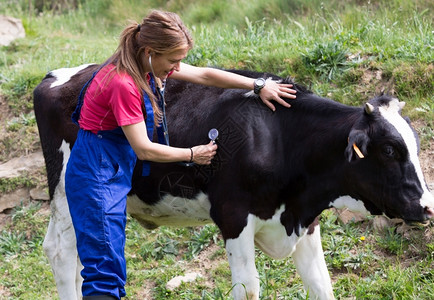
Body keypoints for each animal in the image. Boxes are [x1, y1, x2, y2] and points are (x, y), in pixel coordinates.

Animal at [34, 63, 434, 300]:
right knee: (60, 250)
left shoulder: (305, 220)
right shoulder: (233, 217)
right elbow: (249, 289)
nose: (428, 207)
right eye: (389, 150)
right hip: (68, 189)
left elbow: (321, 284)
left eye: (414, 145)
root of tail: (56, 76)